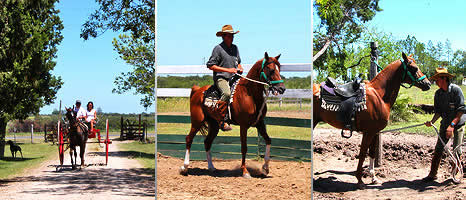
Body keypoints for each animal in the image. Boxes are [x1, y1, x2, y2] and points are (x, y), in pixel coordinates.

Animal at [312, 52, 432, 188]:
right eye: (414, 68)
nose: (428, 84)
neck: (379, 95)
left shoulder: (375, 132)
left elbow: (372, 153)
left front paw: (373, 177)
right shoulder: (368, 132)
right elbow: (363, 153)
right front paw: (360, 180)